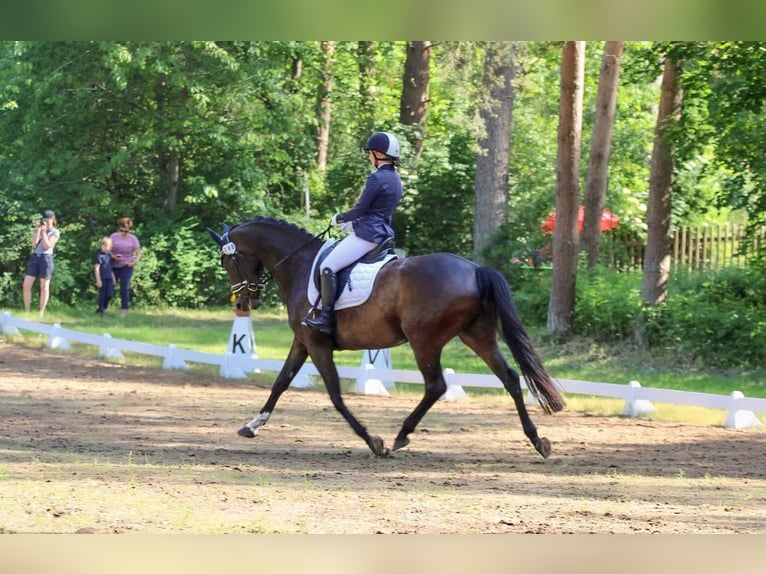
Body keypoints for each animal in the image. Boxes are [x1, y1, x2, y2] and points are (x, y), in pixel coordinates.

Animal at [207, 218, 568, 462]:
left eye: (228, 261)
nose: (244, 303)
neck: (300, 264)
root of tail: (475, 269)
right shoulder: (303, 342)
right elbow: (281, 382)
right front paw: (252, 425)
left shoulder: (318, 344)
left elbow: (335, 395)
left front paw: (373, 441)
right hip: (477, 337)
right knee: (510, 378)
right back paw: (538, 440)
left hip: (424, 341)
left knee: (436, 386)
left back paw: (400, 436)